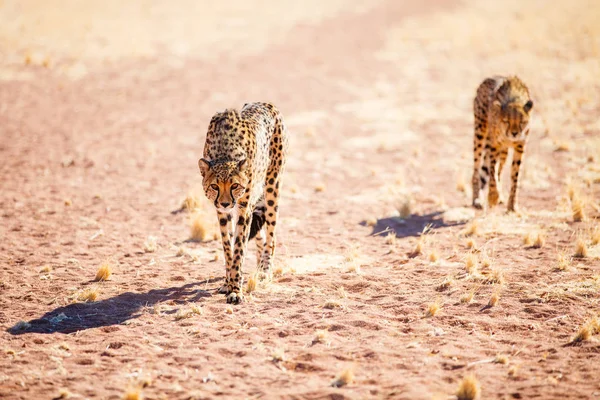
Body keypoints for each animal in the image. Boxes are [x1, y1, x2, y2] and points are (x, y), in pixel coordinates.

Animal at [198, 102, 290, 304]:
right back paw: (258, 265)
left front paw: (235, 290)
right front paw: (228, 283)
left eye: (235, 185)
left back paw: (265, 271)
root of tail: (267, 103)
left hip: (272, 187)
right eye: (214, 186)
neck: (225, 153)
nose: (225, 203)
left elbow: (239, 248)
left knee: (271, 236)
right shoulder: (222, 214)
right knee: (260, 237)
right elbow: (228, 247)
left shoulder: (243, 209)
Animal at [472, 75, 532, 212]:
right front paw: (493, 196)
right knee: (477, 169)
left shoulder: (519, 147)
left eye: (522, 122)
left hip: (504, 150)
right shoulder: (494, 145)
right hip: (480, 134)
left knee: (499, 169)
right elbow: (492, 172)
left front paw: (512, 205)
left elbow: (514, 176)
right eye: (506, 121)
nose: (514, 133)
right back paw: (477, 199)